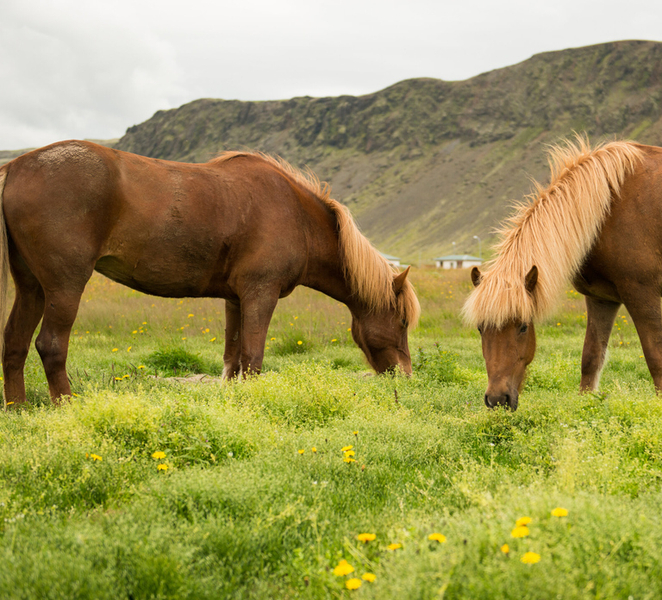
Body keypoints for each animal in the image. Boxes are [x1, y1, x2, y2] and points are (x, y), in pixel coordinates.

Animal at [0, 141, 420, 408]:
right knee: (51, 345)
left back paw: (18, 408)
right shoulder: (260, 295)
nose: (406, 377)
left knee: (15, 343)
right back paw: (67, 405)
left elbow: (232, 360)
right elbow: (252, 357)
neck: (296, 215)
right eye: (402, 322)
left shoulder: (235, 299)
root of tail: (16, 166)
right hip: (65, 285)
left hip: (32, 287)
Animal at [462, 135, 662, 410]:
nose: (497, 400)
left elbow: (655, 358)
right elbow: (591, 358)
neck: (609, 210)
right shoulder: (602, 299)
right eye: (481, 328)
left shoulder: (644, 297)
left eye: (523, 327)